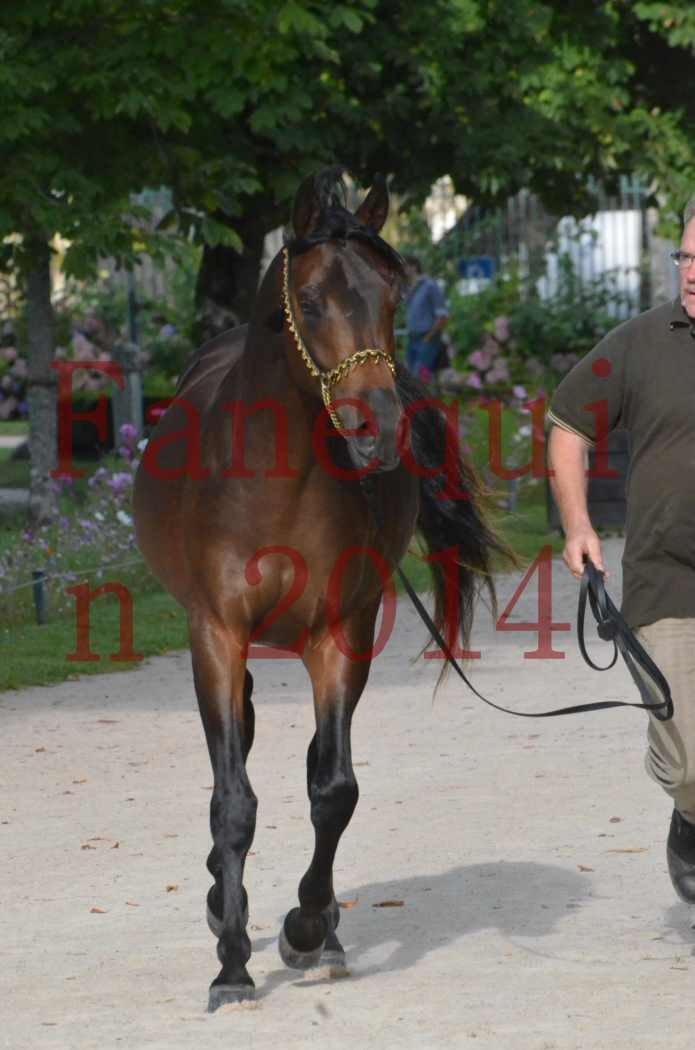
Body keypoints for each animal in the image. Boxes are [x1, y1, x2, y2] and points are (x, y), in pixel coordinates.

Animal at [133, 163, 503, 1007]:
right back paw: (221, 901)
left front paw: (305, 930)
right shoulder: (217, 634)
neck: (275, 482)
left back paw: (322, 925)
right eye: (307, 301)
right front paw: (232, 962)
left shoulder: (342, 633)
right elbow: (233, 799)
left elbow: (333, 790)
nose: (377, 427)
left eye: (394, 293)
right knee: (236, 754)